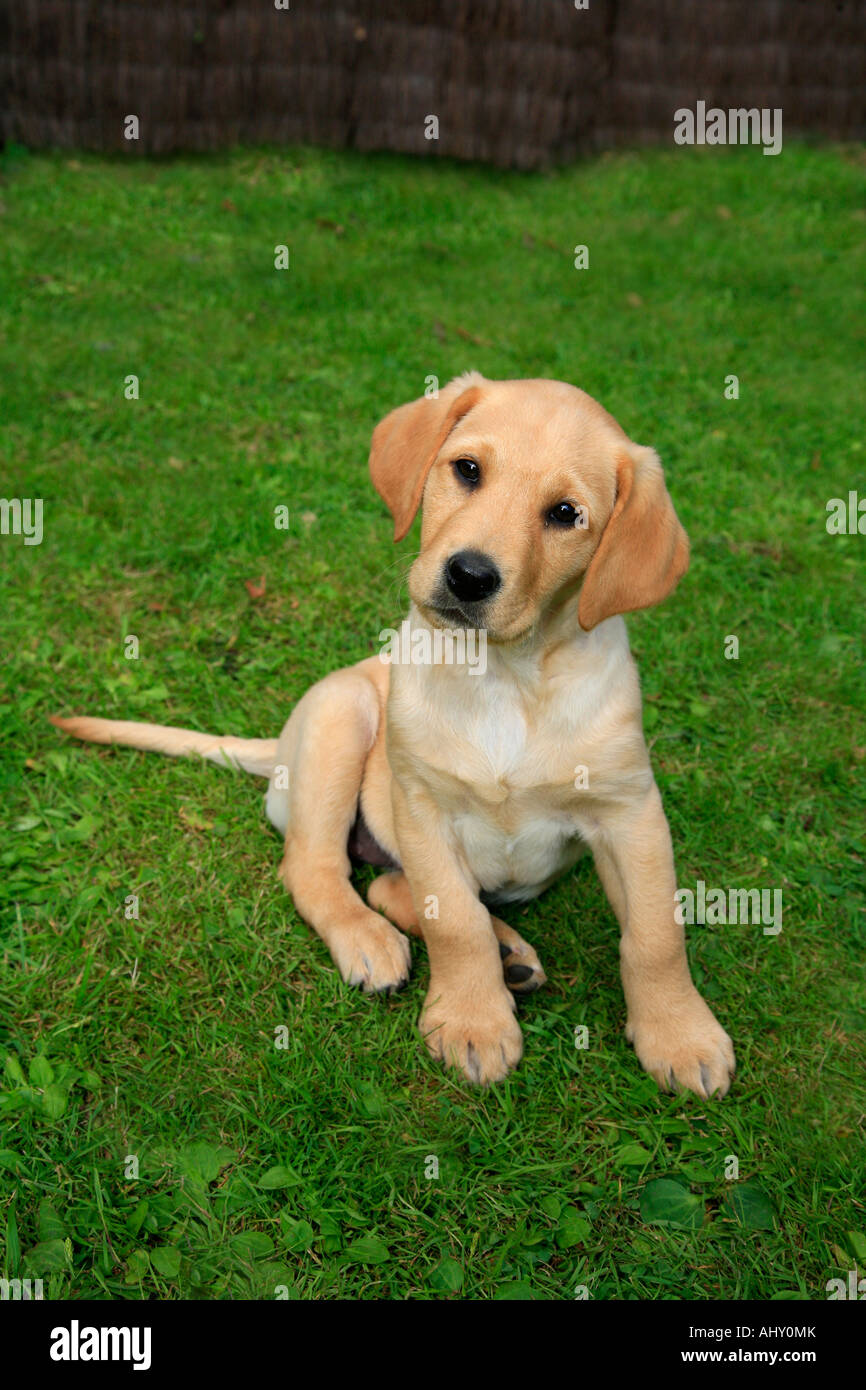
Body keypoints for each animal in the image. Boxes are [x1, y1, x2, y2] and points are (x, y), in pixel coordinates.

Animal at [54, 372, 733, 1095]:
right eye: (467, 469)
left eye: (566, 514)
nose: (469, 576)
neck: (504, 675)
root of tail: (279, 745)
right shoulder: (420, 802)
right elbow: (454, 920)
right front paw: (473, 1022)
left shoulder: (630, 809)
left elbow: (656, 934)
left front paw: (680, 1035)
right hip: (343, 712)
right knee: (316, 868)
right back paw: (373, 940)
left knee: (385, 885)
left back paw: (510, 953)